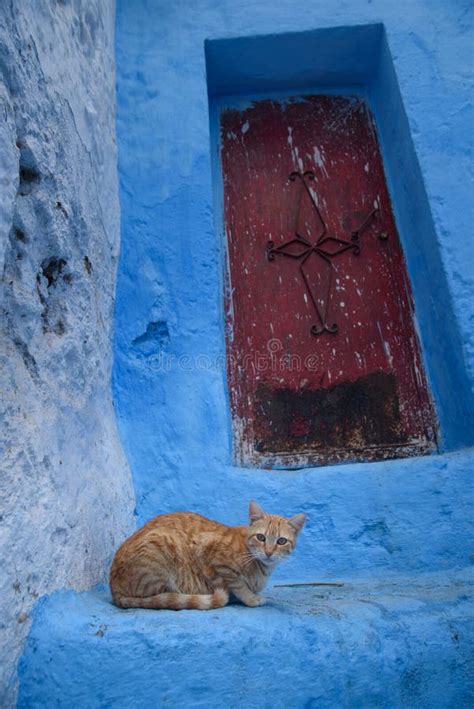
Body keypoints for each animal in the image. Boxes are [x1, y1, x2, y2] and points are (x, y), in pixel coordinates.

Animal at [109, 498, 306, 608]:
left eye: (281, 541)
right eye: (261, 537)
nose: (269, 552)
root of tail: (114, 588)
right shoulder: (209, 554)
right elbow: (237, 584)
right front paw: (250, 598)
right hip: (162, 544)